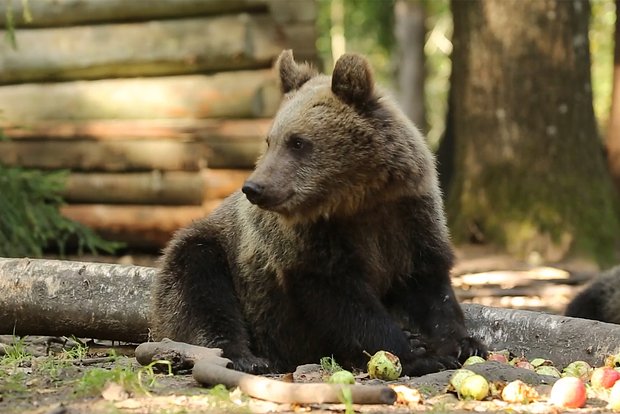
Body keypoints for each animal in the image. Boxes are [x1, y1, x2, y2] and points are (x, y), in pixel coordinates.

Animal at [153, 49, 486, 376]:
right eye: (270, 140)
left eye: (297, 142)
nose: (254, 187)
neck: (359, 200)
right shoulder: (311, 244)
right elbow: (342, 301)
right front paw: (414, 351)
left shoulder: (408, 216)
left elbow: (428, 283)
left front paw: (464, 344)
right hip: (216, 253)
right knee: (200, 288)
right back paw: (245, 357)